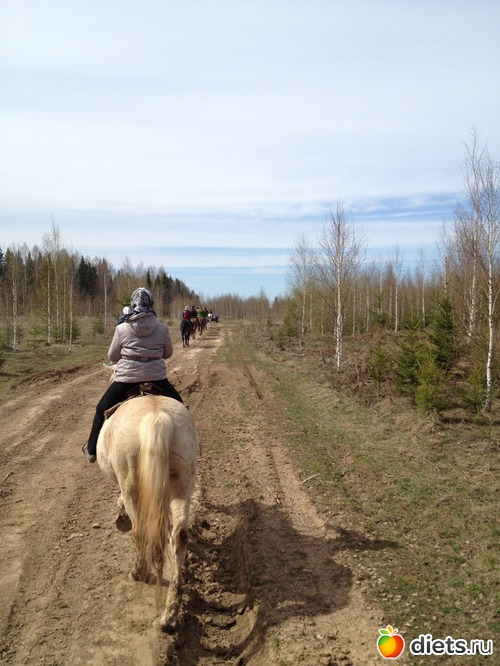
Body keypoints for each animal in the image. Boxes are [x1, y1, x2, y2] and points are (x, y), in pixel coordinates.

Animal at [96, 374, 199, 632]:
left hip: (132, 482)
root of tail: (157, 417)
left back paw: (139, 572)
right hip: (184, 481)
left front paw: (121, 516)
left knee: (139, 531)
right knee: (180, 536)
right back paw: (169, 616)